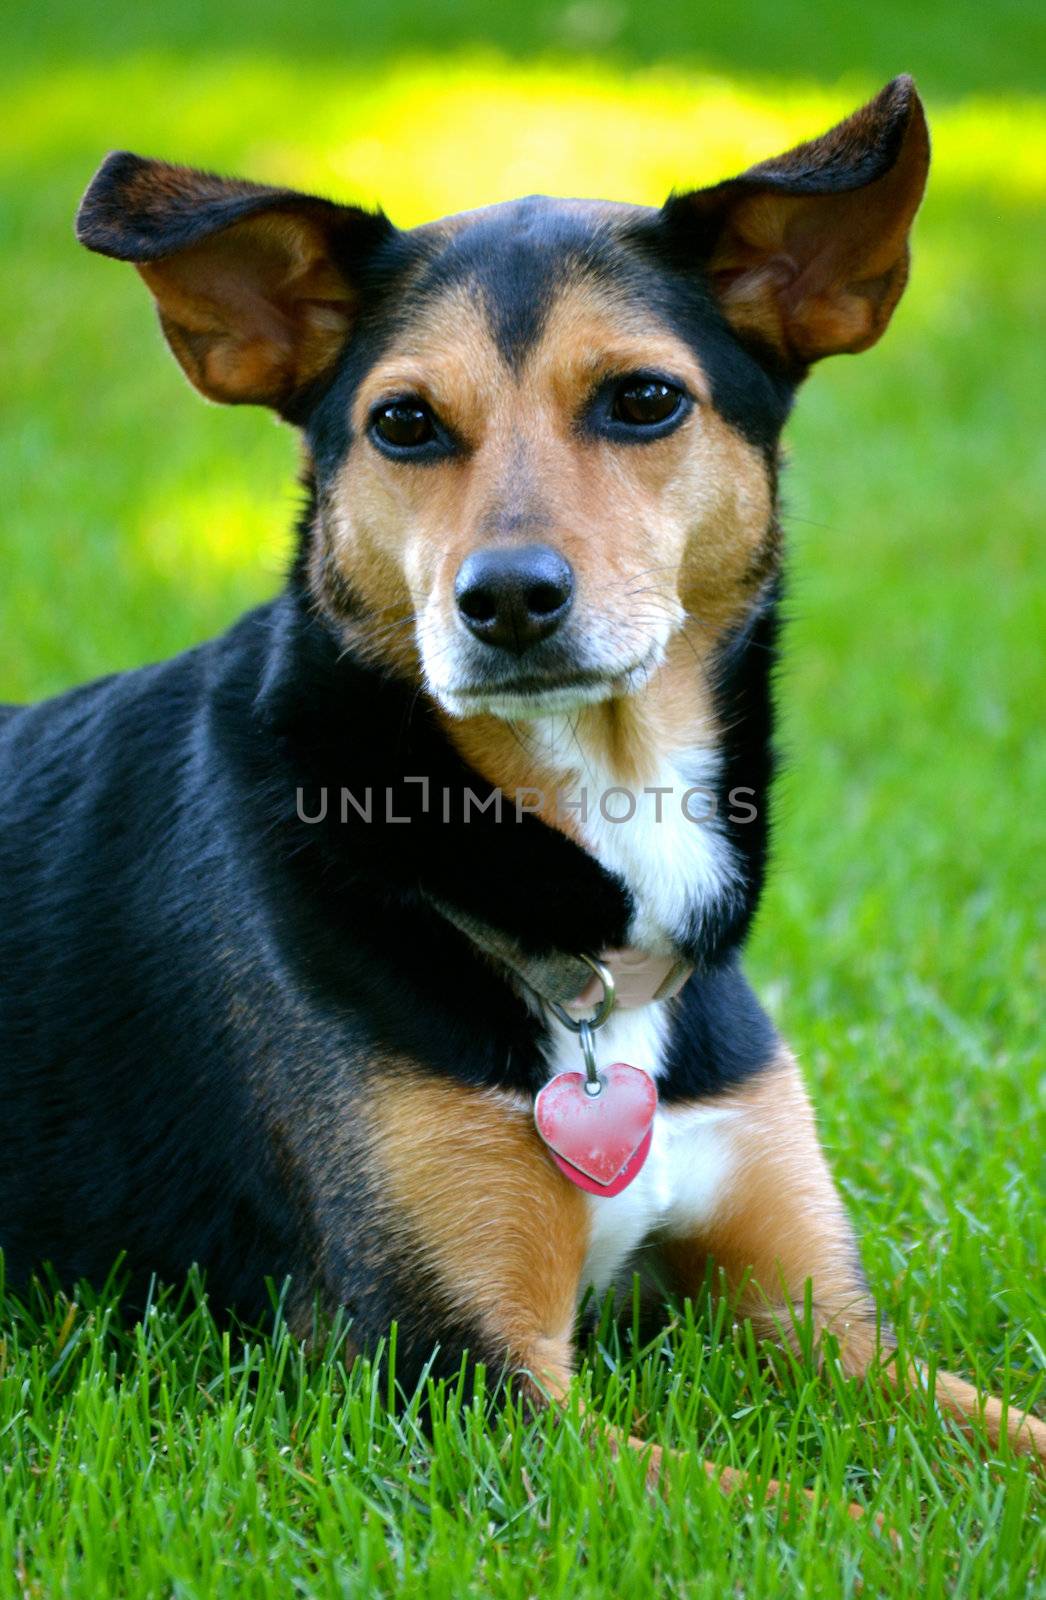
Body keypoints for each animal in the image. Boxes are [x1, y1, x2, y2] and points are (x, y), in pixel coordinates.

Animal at [2, 75, 1046, 1497]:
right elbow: (812, 1511)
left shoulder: (820, 1321)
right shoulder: (453, 1374)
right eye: (403, 423)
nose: (502, 599)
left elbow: (998, 1444)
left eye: (644, 400)